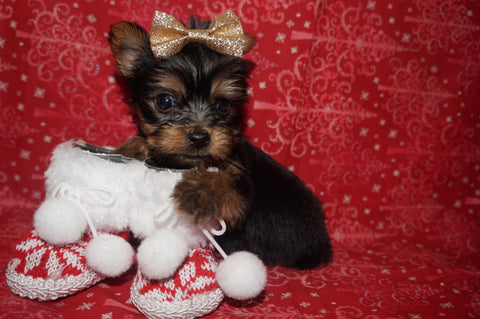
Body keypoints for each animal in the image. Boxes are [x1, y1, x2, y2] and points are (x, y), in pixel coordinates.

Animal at [110, 10, 332, 270]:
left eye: (223, 106)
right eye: (165, 101)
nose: (199, 137)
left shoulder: (242, 184)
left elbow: (229, 185)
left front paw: (201, 192)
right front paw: (132, 147)